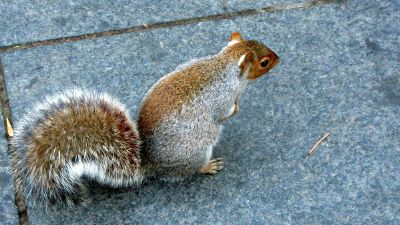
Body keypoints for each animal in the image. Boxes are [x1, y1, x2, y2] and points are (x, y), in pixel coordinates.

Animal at [11, 32, 278, 206]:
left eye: (263, 45)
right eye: (264, 63)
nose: (278, 58)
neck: (224, 64)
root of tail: (150, 165)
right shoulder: (223, 97)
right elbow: (224, 113)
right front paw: (236, 108)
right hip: (198, 150)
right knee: (193, 168)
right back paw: (208, 166)